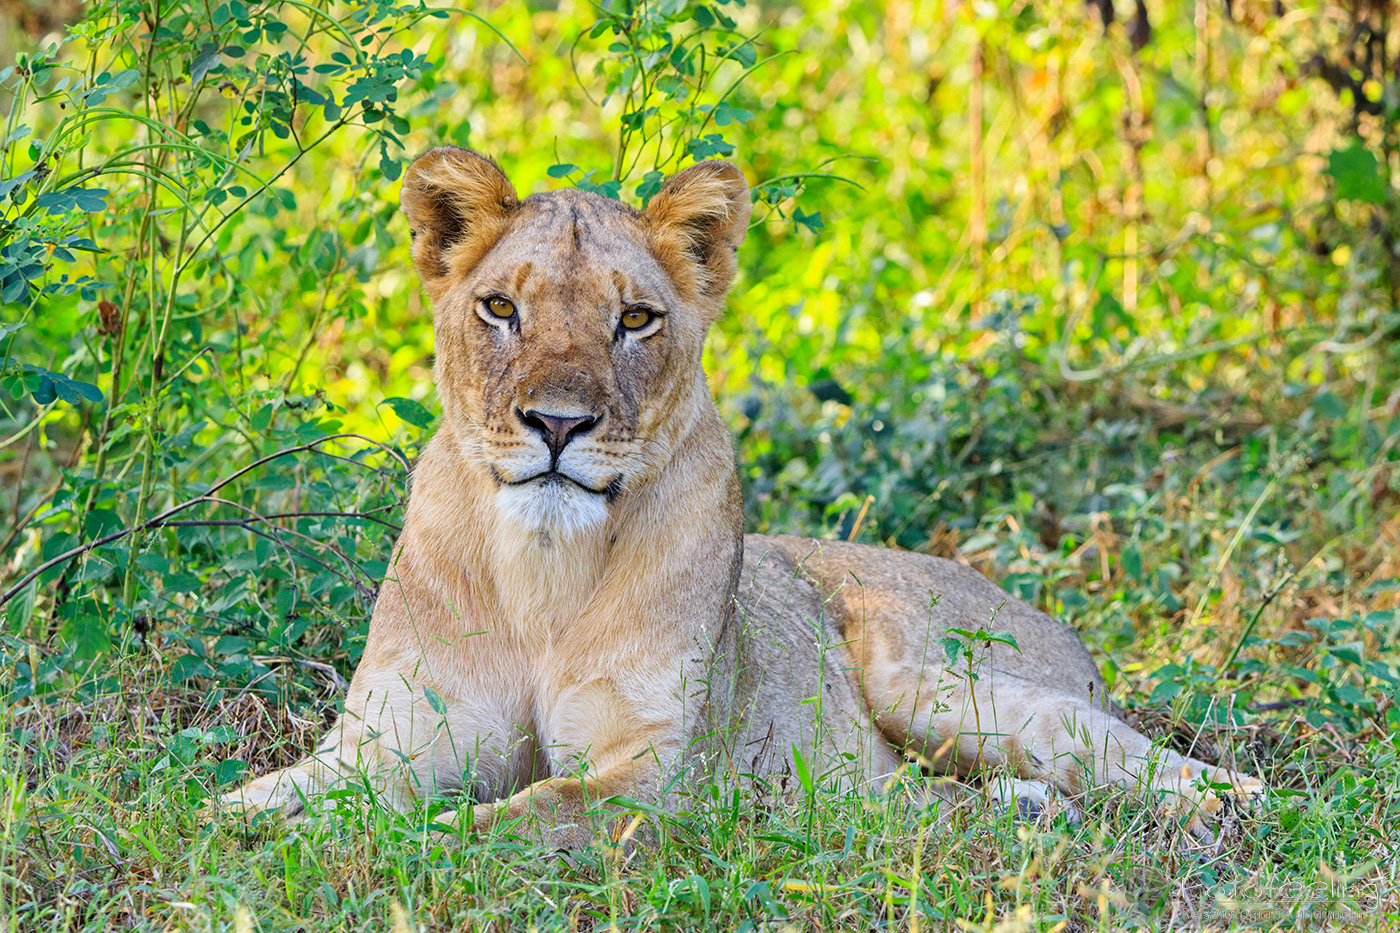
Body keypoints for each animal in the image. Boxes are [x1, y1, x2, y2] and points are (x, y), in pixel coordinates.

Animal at [225, 148, 1262, 845]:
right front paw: (243, 816)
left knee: (1172, 767)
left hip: (933, 682)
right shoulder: (390, 741)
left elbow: (515, 815)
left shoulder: (656, 773)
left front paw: (392, 839)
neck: (542, 572)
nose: (557, 424)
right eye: (500, 308)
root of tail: (1066, 630)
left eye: (634, 319)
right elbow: (269, 794)